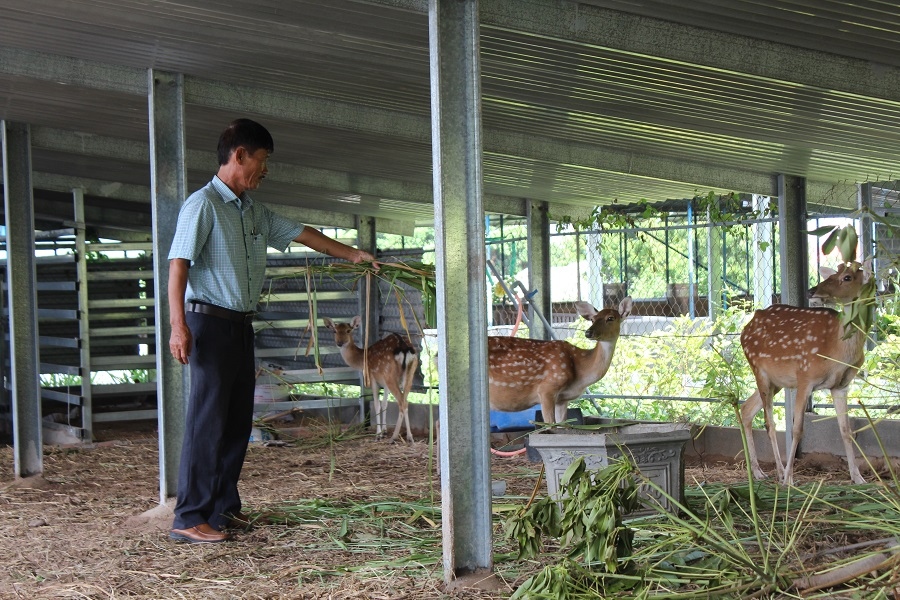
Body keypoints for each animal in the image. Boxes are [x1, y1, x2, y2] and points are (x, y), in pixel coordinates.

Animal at [486, 298, 632, 424]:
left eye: (610, 318)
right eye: (592, 319)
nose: (588, 333)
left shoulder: (562, 399)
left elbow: (562, 425)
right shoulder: (547, 388)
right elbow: (551, 424)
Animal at [740, 260, 872, 486]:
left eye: (847, 277)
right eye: (834, 273)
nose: (812, 291)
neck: (837, 350)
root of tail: (745, 328)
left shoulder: (841, 385)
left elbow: (846, 430)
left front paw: (858, 477)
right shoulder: (805, 376)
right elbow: (797, 429)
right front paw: (789, 478)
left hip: (777, 382)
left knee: (746, 409)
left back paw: (758, 472)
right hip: (759, 370)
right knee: (769, 423)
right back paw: (780, 472)